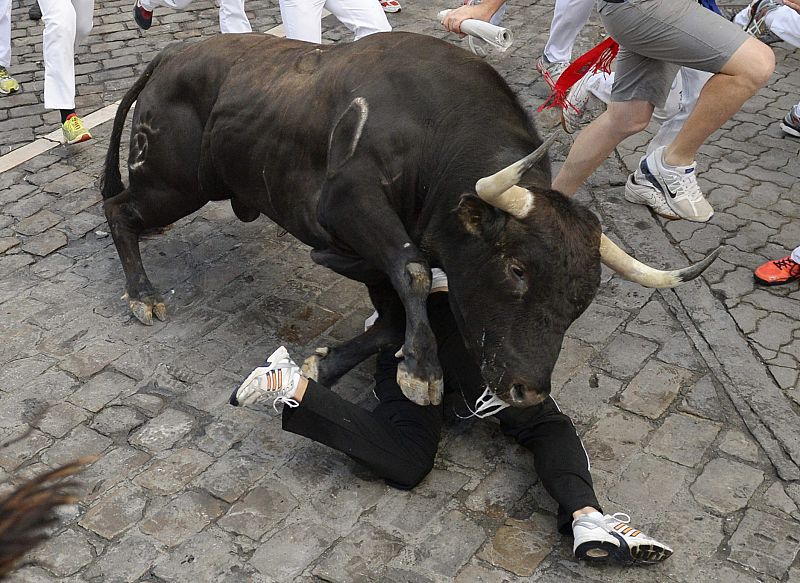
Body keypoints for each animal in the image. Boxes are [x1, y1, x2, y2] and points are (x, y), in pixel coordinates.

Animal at [101, 30, 720, 406]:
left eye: (584, 296)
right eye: (517, 270)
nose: (529, 392)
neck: (435, 132)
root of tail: (174, 54)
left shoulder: (372, 249)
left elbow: (393, 312)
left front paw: (323, 364)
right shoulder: (351, 204)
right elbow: (415, 272)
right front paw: (422, 370)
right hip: (172, 185)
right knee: (117, 208)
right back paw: (141, 294)